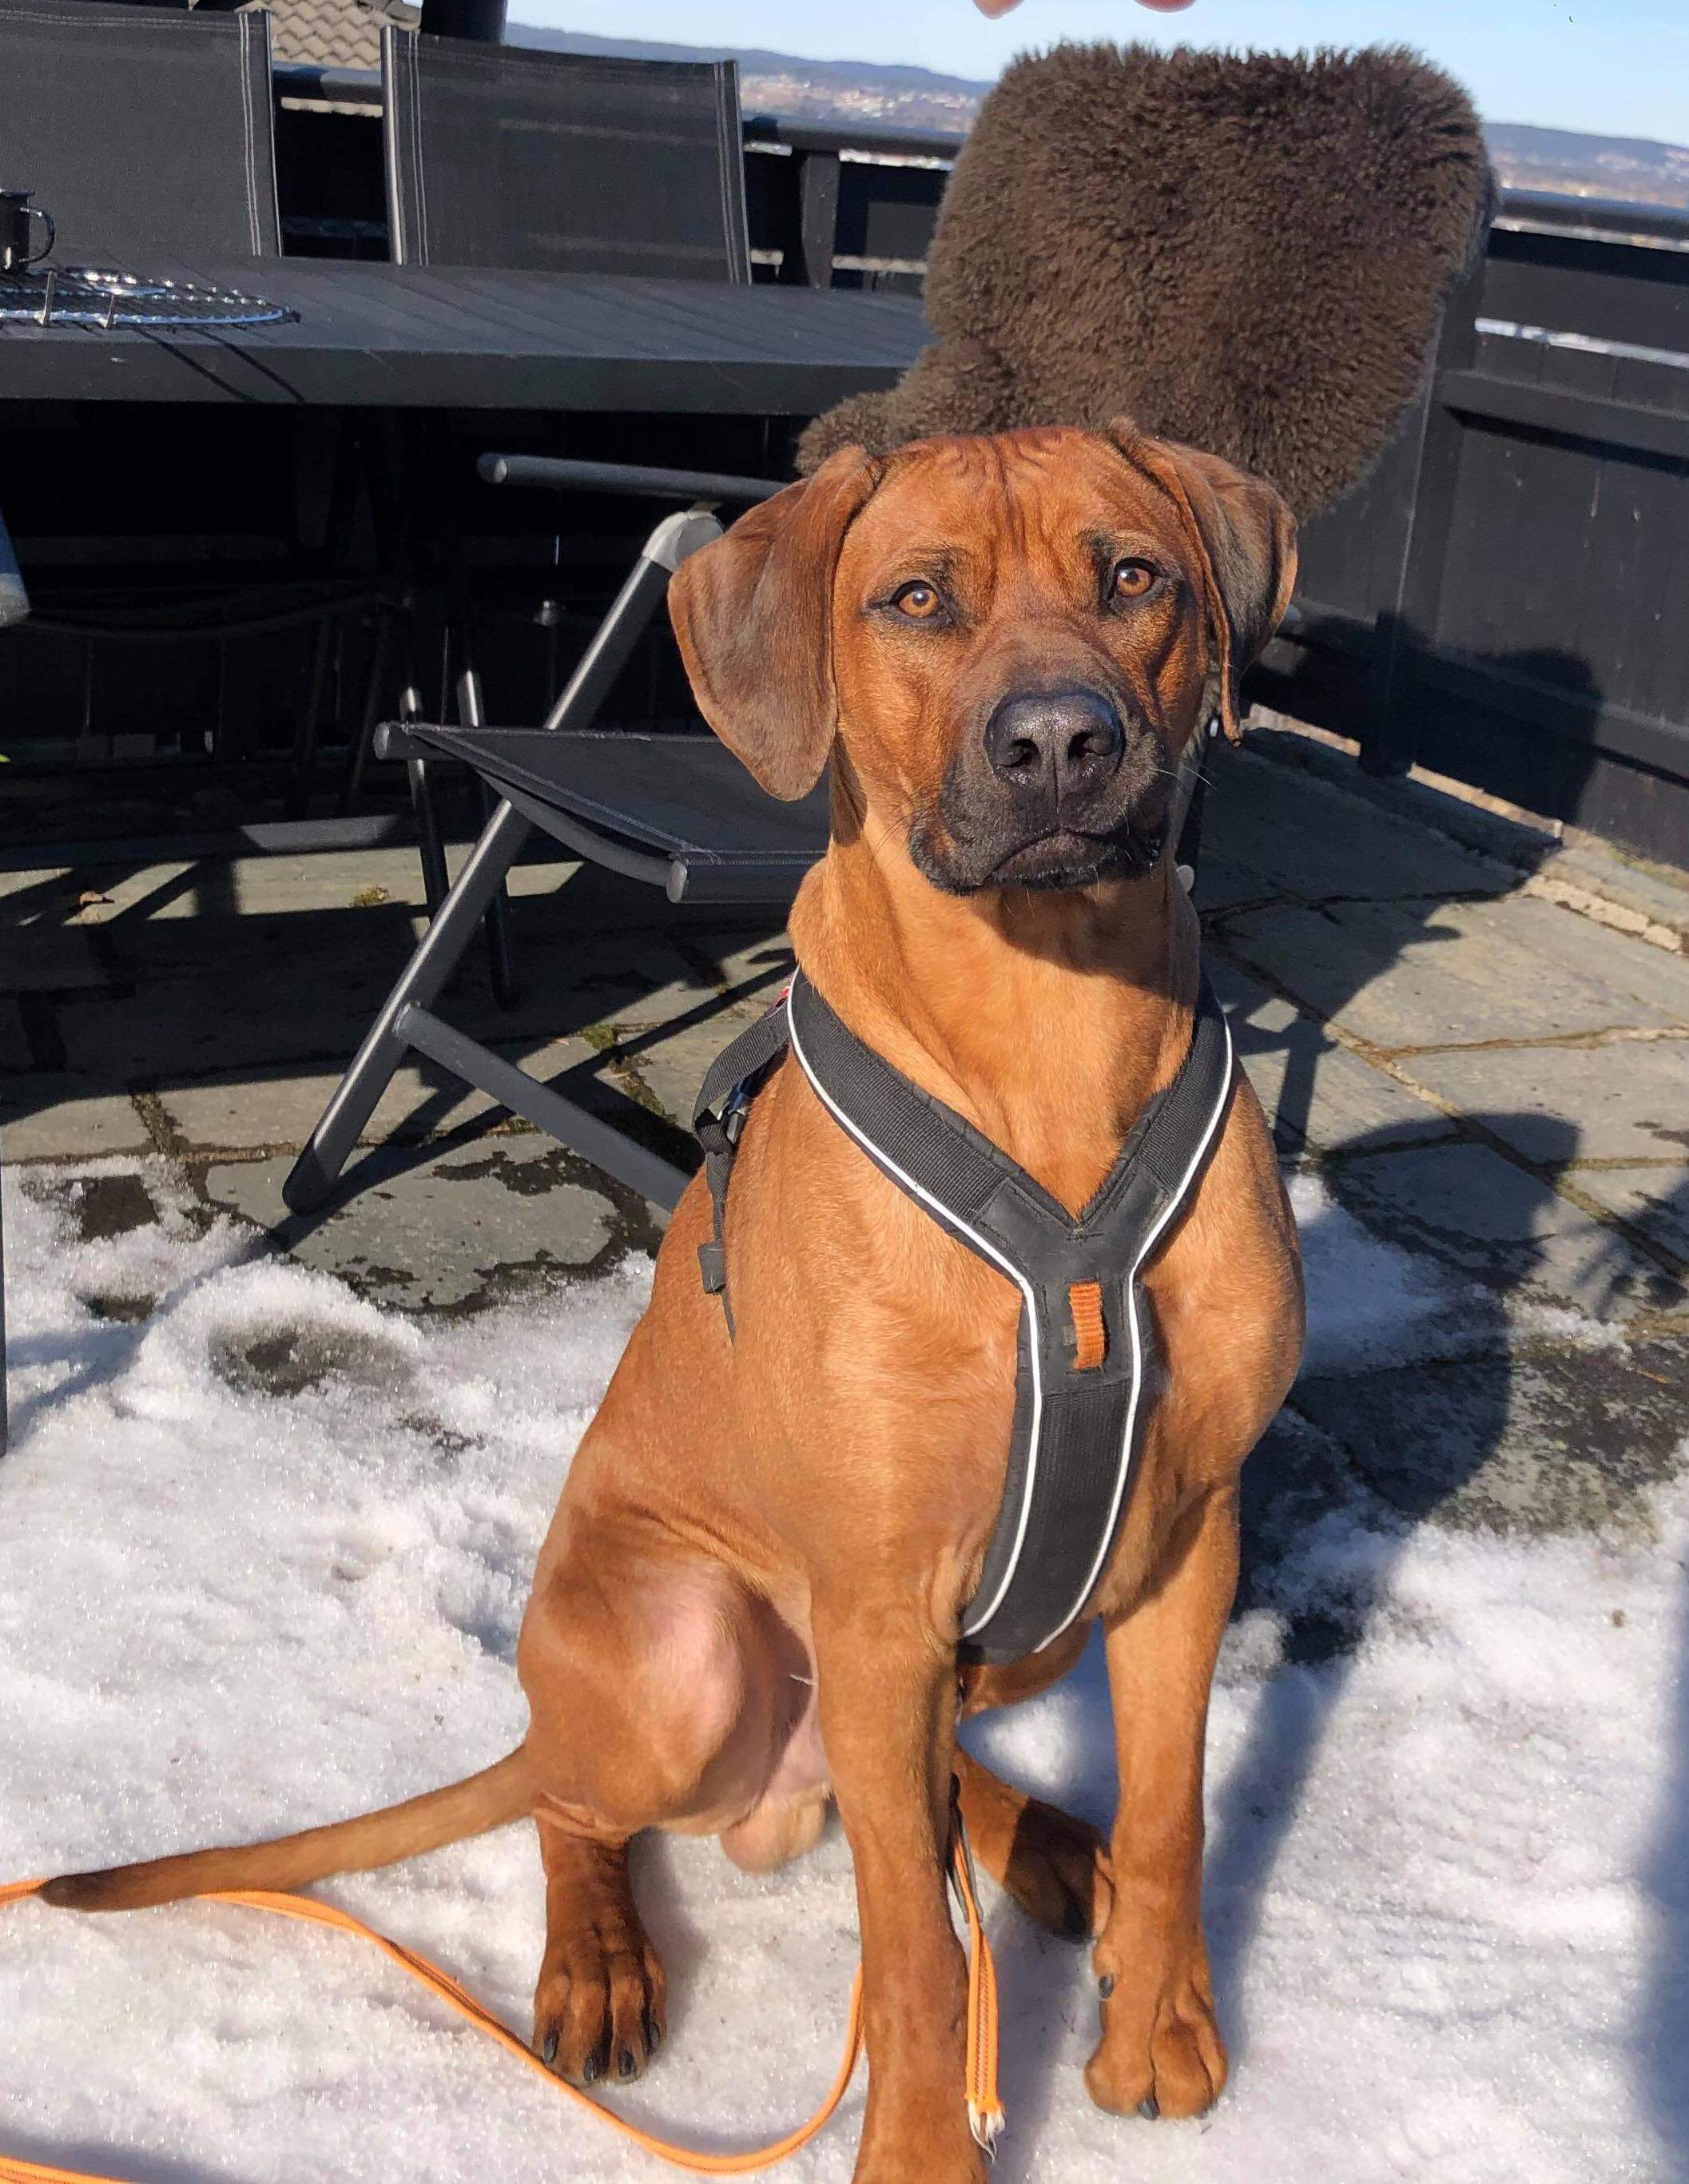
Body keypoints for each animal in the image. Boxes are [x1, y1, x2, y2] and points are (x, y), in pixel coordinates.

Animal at [45, 421, 1304, 2184]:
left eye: (1133, 577)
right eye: (917, 599)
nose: (1059, 740)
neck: (1049, 1042)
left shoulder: (1186, 1532)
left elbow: (1174, 1806)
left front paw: (1159, 2025)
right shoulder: (876, 1590)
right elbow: (912, 1948)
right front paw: (921, 2146)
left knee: (928, 1778)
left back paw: (1053, 1842)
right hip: (694, 1652)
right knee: (594, 1809)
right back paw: (598, 1957)